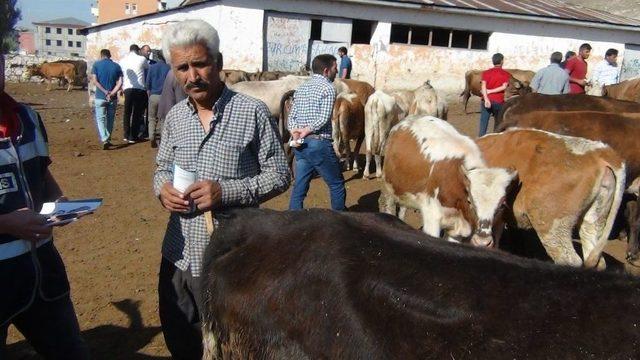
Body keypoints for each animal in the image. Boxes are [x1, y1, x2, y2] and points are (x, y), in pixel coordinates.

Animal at [380, 115, 516, 245]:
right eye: (470, 201)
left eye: (502, 205)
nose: (482, 241)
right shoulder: (432, 219)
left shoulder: (458, 231)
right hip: (388, 190)